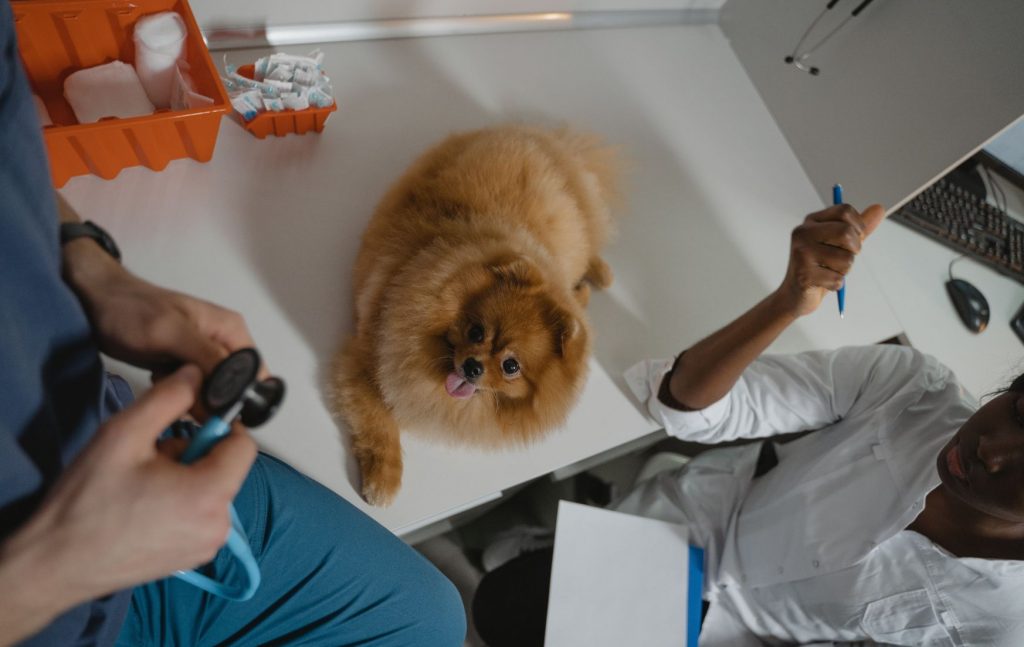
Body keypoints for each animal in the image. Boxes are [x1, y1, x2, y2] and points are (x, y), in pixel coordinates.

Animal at [332, 124, 617, 506]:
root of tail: (546, 141)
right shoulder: (367, 358)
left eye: (511, 366)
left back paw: (598, 278)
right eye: (476, 331)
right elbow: (379, 424)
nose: (472, 367)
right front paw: (384, 480)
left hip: (577, 233)